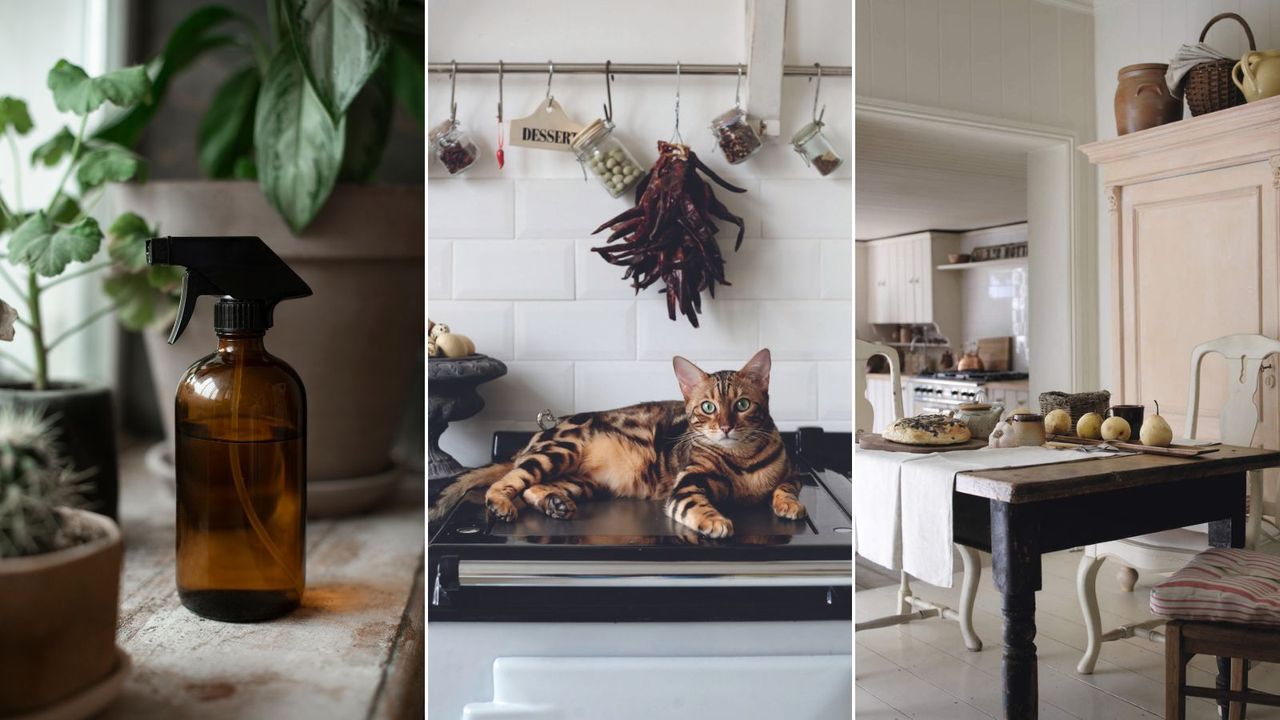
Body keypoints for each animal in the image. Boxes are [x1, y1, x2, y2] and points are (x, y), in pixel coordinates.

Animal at [430, 348, 798, 532]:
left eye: (742, 405)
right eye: (708, 407)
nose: (725, 427)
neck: (741, 460)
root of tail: (536, 437)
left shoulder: (791, 472)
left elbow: (786, 487)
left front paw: (790, 505)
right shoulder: (688, 484)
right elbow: (695, 503)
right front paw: (715, 520)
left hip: (584, 482)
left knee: (533, 488)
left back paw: (554, 503)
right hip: (559, 451)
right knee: (507, 481)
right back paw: (502, 503)